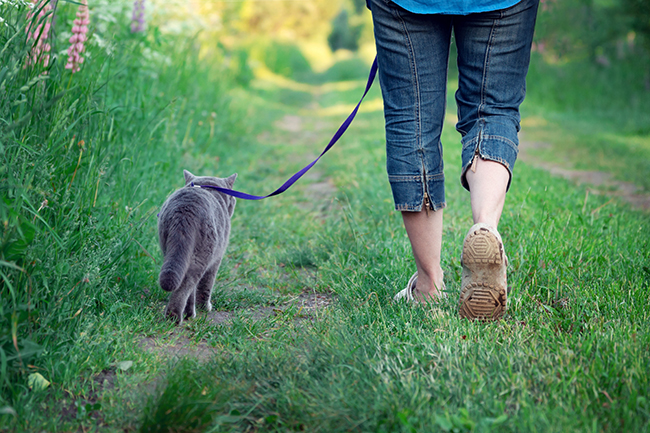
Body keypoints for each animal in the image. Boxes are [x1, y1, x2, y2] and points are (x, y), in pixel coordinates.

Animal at [158, 169, 237, 324]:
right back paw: (174, 317)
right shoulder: (216, 259)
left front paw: (191, 311)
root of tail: (185, 210)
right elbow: (206, 286)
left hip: (171, 250)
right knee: (187, 285)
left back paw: (186, 314)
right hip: (202, 257)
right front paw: (205, 307)